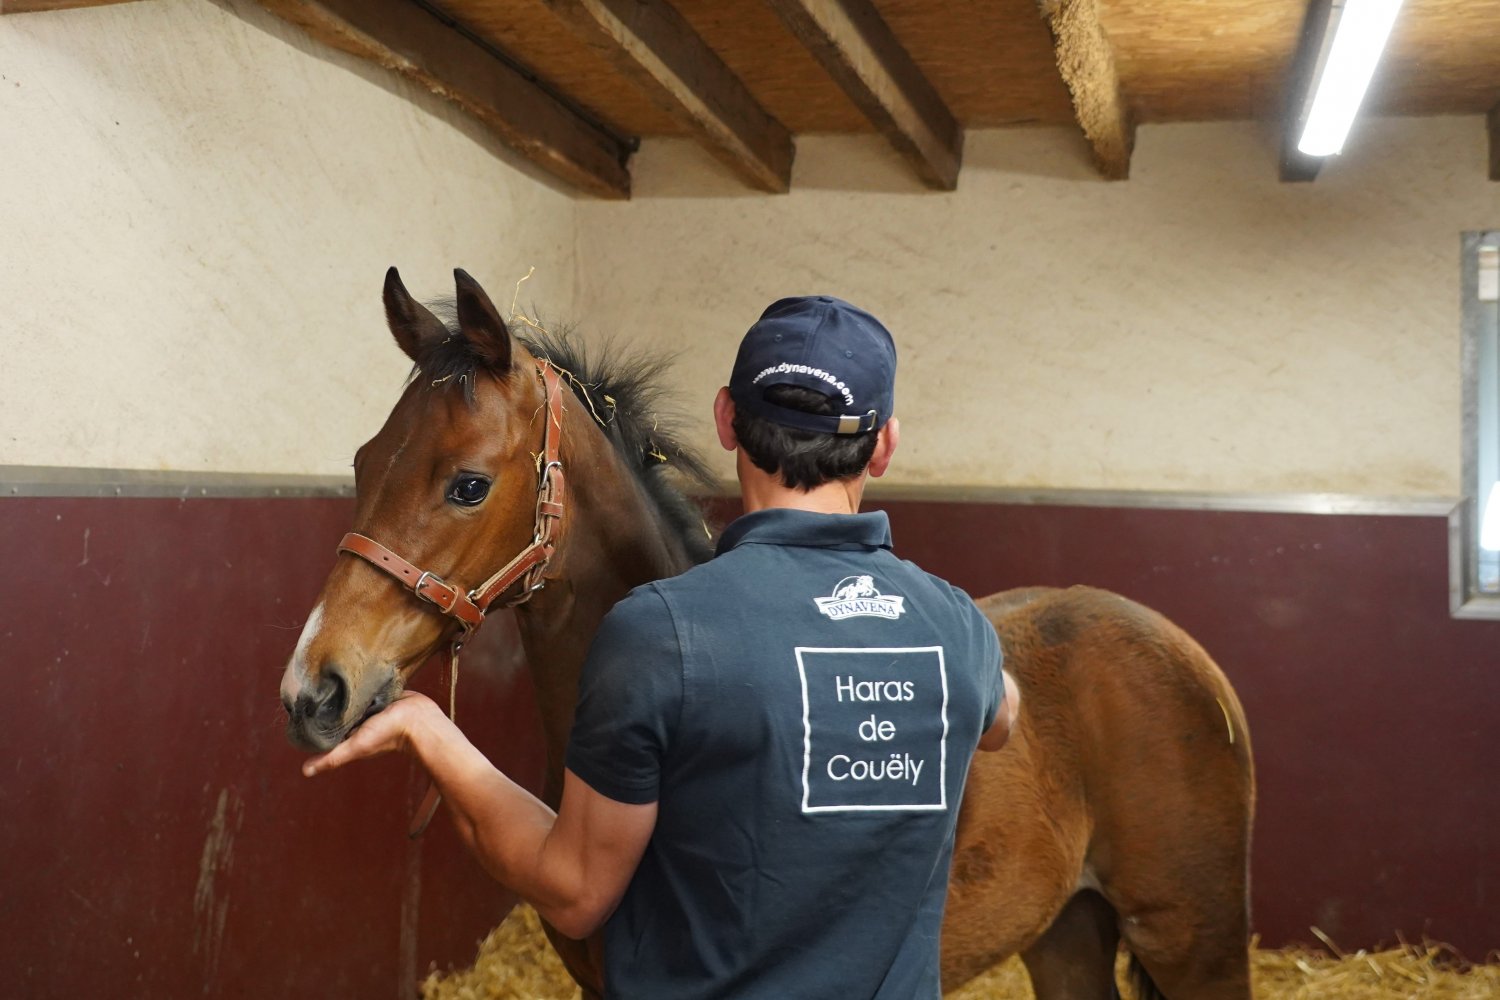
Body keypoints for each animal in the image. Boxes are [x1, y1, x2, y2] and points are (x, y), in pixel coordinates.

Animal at [279, 268, 1255, 1000]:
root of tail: (1196, 664)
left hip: (1195, 944)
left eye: (469, 484)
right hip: (1066, 935)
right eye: (363, 461)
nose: (313, 691)